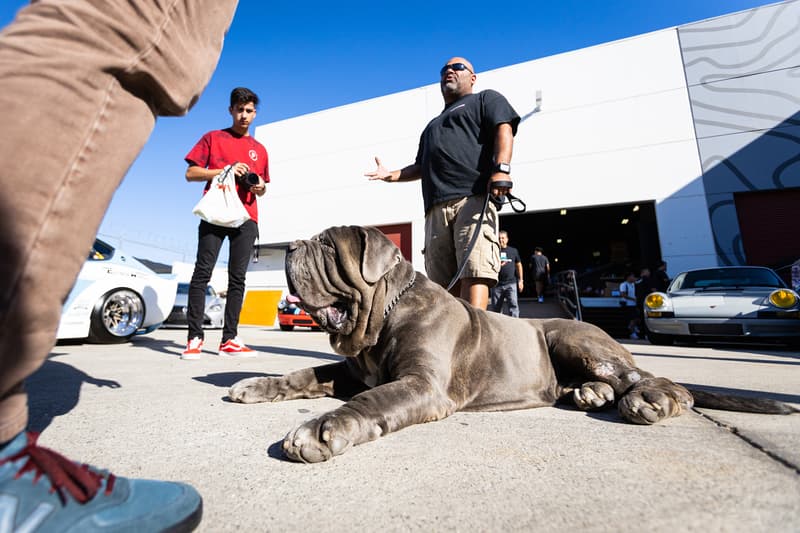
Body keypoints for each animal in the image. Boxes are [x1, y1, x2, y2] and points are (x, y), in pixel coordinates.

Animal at [228, 224, 796, 462]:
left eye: (327, 246)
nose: (292, 247)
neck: (381, 318)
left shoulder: (420, 384)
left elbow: (371, 401)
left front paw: (322, 429)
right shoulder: (350, 370)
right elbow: (305, 373)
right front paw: (256, 384)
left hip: (572, 335)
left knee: (658, 379)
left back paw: (650, 398)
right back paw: (588, 395)